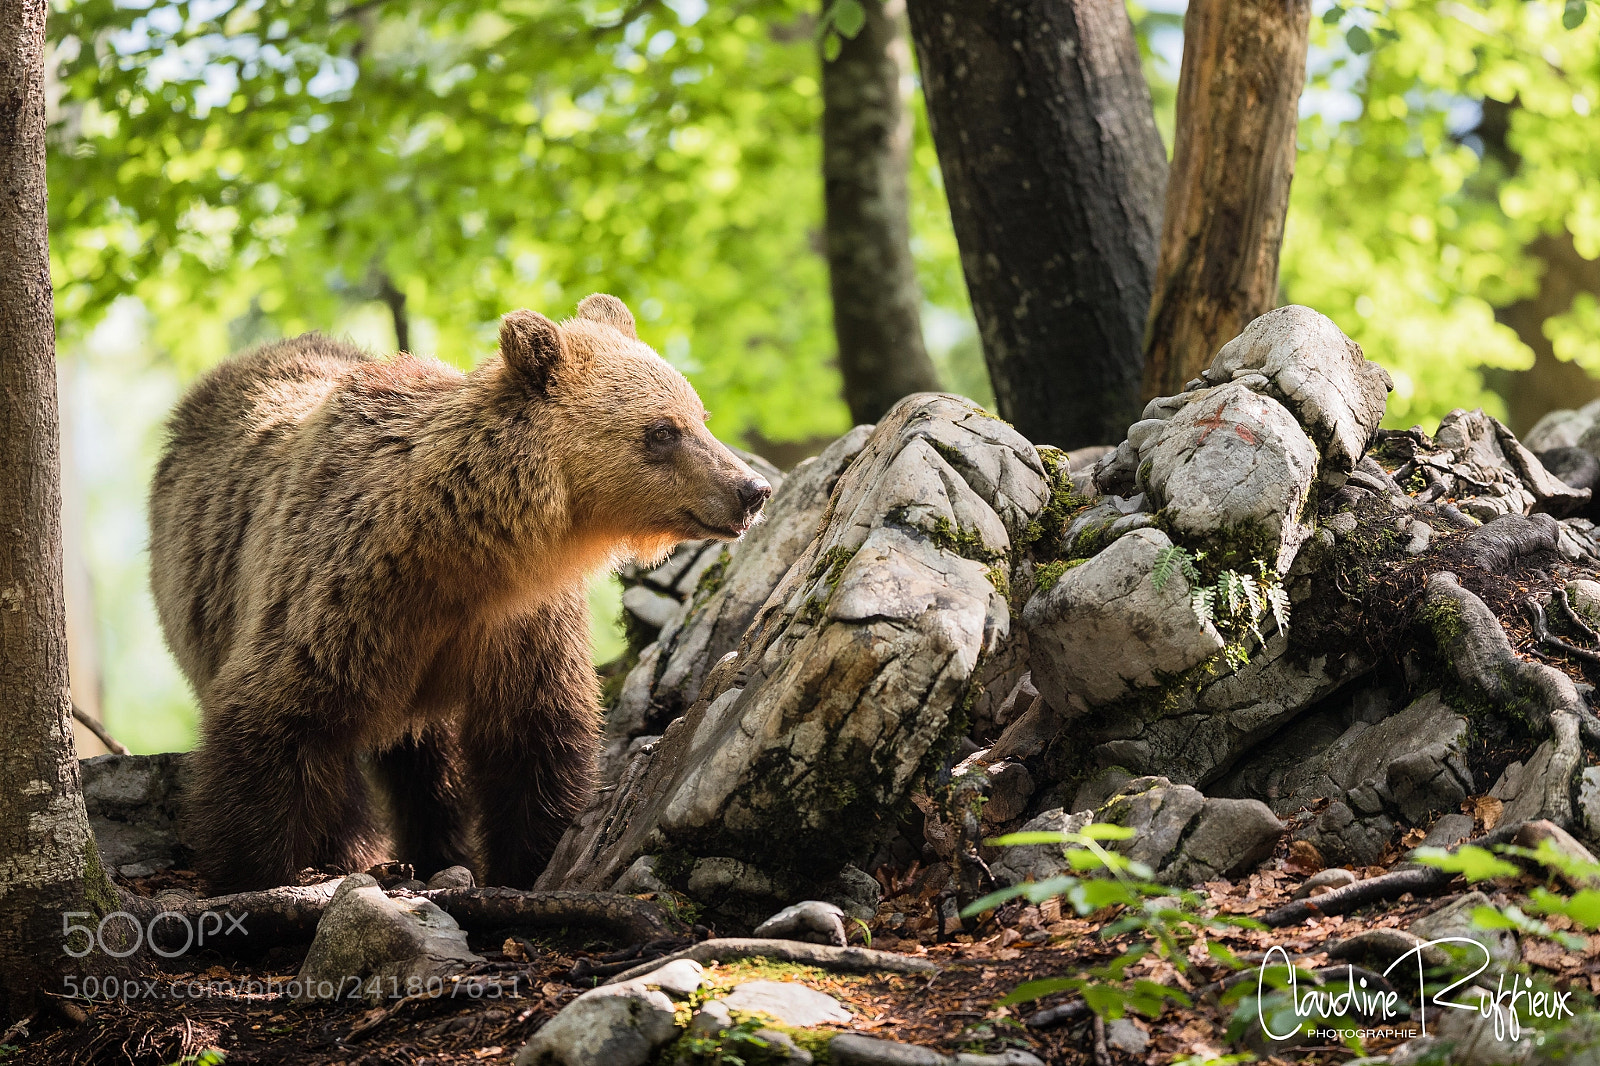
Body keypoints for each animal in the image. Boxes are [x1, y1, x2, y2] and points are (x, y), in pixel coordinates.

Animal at [148, 294, 771, 892]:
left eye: (700, 415)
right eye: (663, 430)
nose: (752, 489)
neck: (463, 549)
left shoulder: (517, 625)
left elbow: (533, 738)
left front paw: (532, 859)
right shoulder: (340, 594)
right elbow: (278, 718)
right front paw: (249, 869)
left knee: (429, 764)